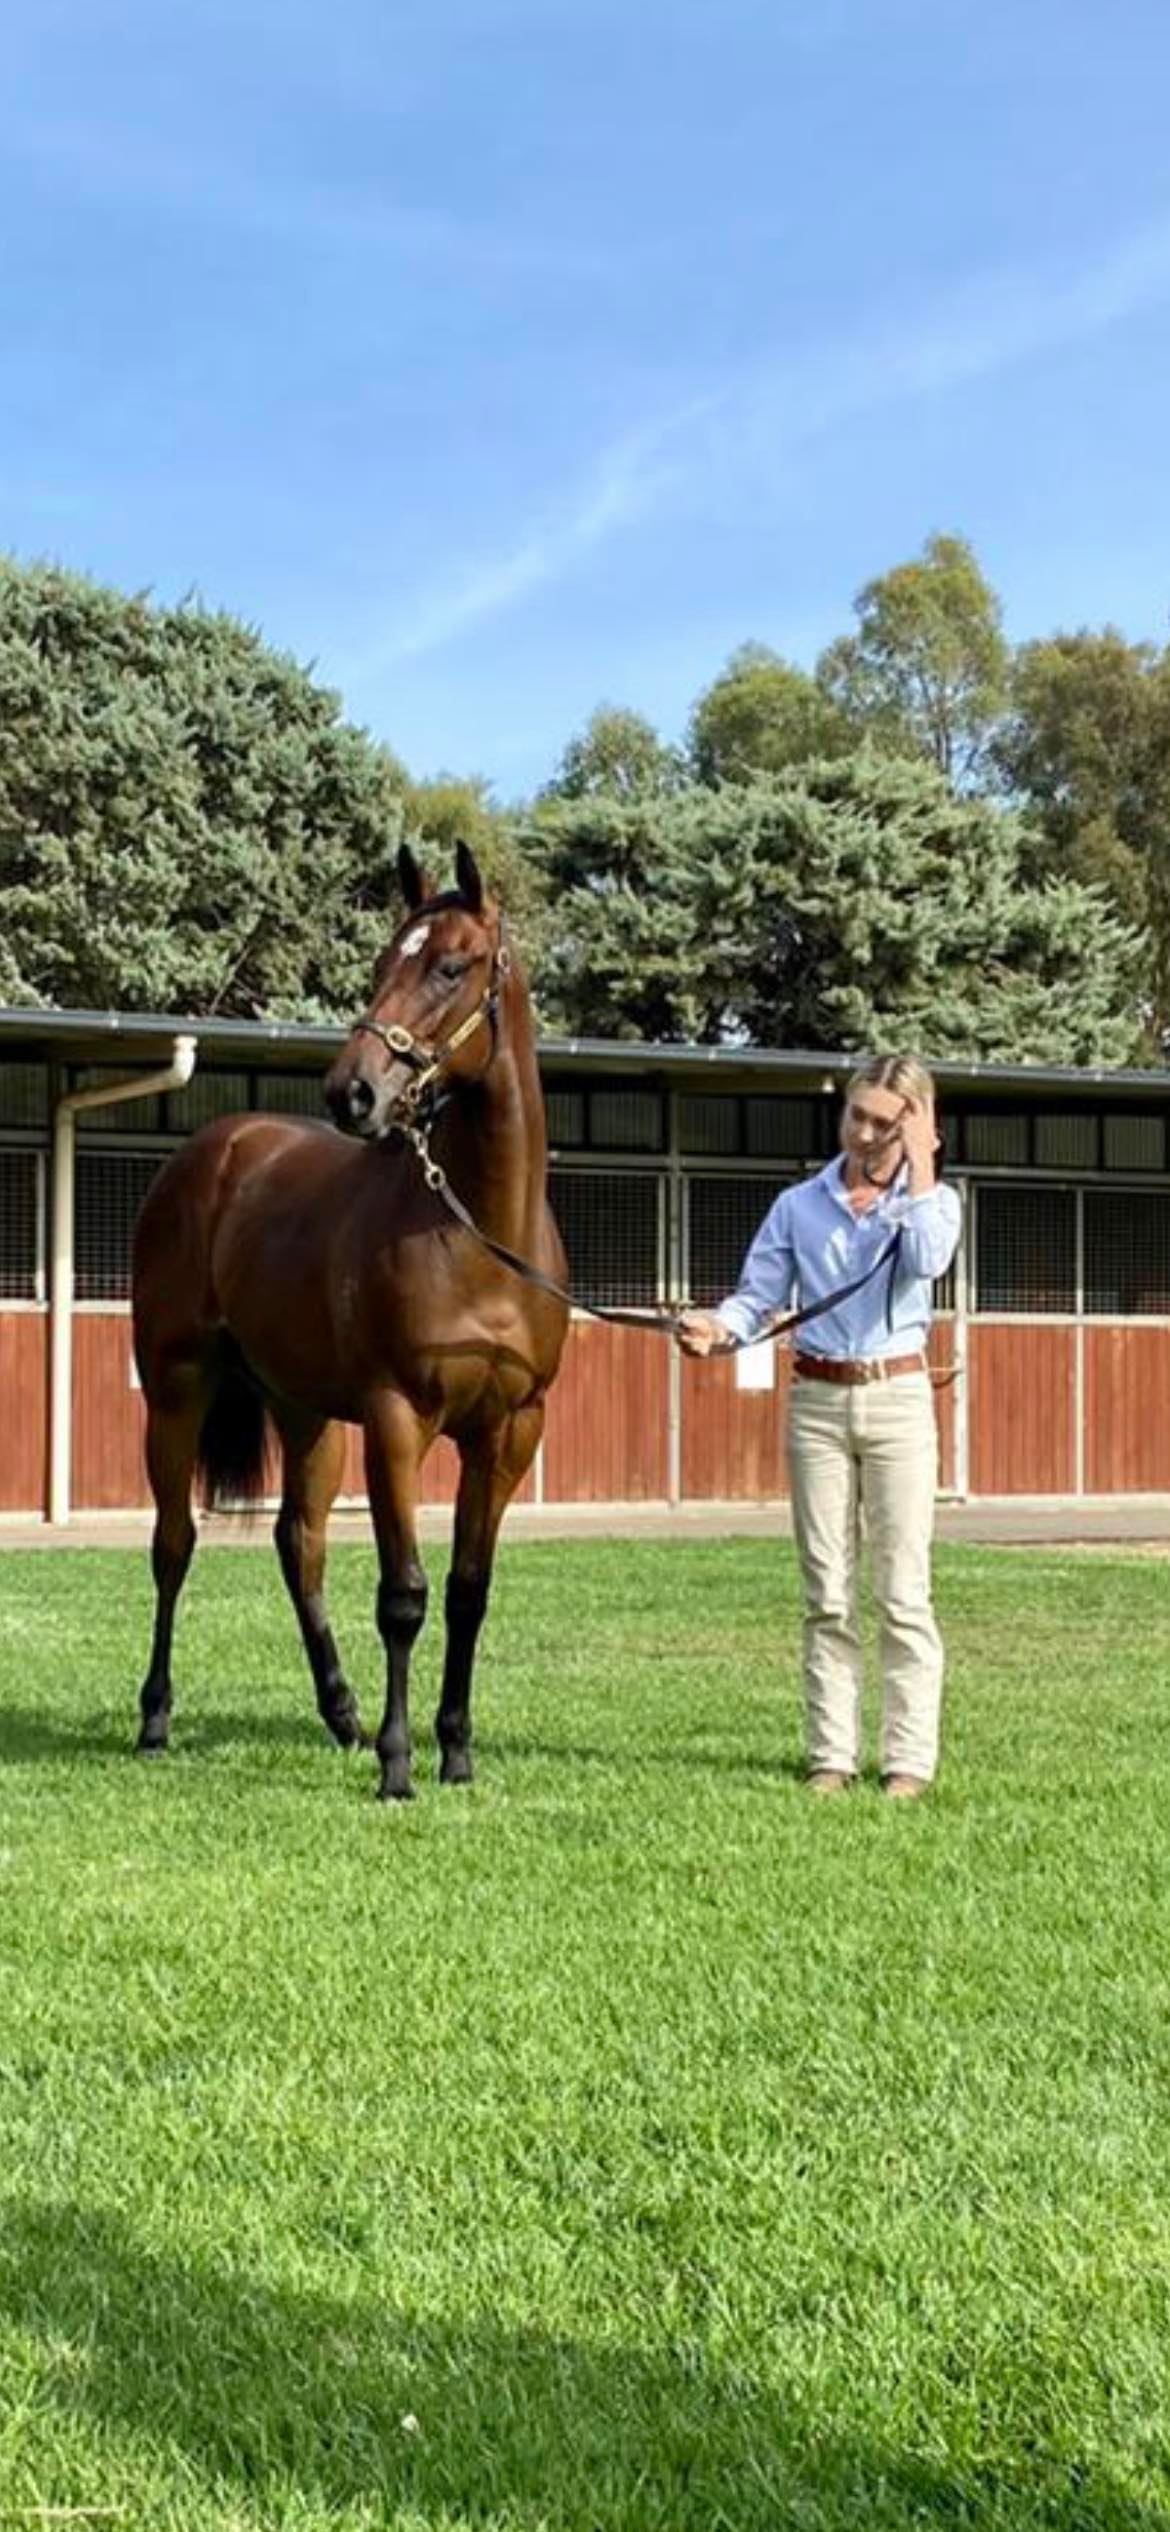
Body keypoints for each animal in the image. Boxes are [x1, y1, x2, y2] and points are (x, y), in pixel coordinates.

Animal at [132, 850, 572, 1802]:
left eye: (451, 966)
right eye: (380, 964)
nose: (352, 1092)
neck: (479, 1233)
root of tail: (216, 1149)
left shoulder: (510, 1431)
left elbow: (469, 1590)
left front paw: (455, 1751)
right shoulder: (398, 1421)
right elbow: (403, 1594)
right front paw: (399, 1764)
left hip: (307, 1415)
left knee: (299, 1543)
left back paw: (341, 1713)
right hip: (177, 1392)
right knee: (174, 1544)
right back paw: (154, 1719)